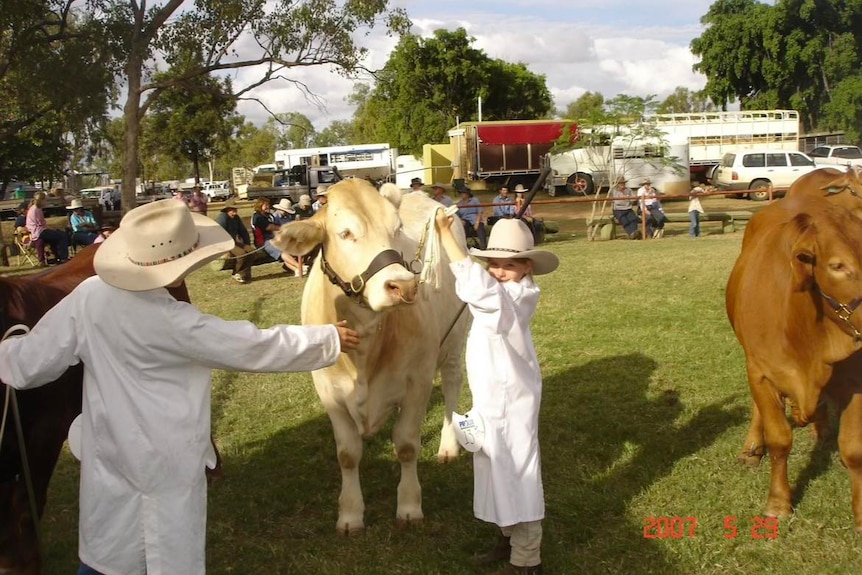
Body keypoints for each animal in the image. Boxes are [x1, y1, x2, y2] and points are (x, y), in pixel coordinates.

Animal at [274, 181, 470, 536]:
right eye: (345, 233)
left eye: (397, 229)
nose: (403, 286)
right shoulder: (328, 391)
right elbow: (348, 454)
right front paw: (350, 513)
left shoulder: (418, 381)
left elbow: (406, 445)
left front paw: (409, 505)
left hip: (454, 339)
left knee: (451, 390)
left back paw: (448, 446)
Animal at [732, 197, 862, 532]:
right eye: (837, 266)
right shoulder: (760, 371)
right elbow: (779, 440)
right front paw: (779, 502)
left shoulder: (856, 380)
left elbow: (853, 448)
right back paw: (752, 448)